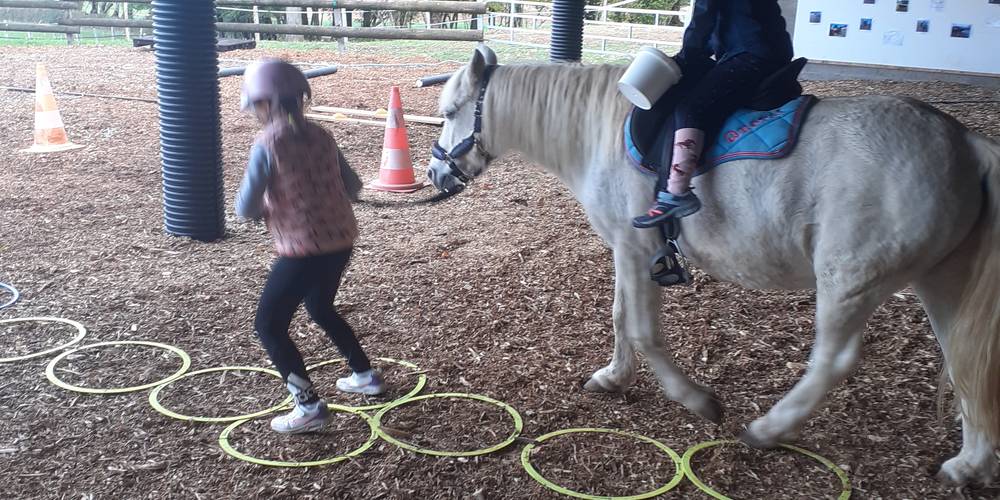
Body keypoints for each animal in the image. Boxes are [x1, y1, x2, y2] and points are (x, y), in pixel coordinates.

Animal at [426, 48, 1000, 486]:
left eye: (452, 110)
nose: (435, 173)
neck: (600, 130)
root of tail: (963, 144)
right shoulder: (626, 251)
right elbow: (620, 318)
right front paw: (613, 378)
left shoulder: (636, 250)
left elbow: (642, 329)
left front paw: (696, 401)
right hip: (939, 283)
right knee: (965, 364)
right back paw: (968, 465)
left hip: (848, 283)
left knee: (833, 361)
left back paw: (768, 430)